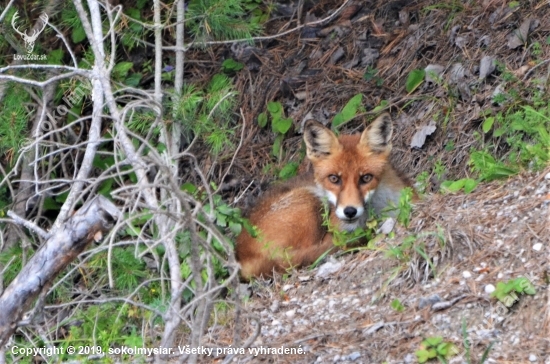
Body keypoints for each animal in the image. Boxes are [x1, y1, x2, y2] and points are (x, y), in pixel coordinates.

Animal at [235, 114, 412, 278]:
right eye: (334, 179)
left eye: (366, 178)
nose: (349, 211)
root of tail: (241, 257)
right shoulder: (335, 231)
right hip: (310, 201)